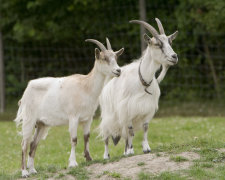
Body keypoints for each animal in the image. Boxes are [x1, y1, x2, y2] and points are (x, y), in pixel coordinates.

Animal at [14, 38, 124, 177]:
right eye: (104, 58)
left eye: (116, 57)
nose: (118, 71)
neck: (86, 87)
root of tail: (26, 92)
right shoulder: (73, 117)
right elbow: (74, 139)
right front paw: (73, 163)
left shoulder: (88, 118)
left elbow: (86, 137)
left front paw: (89, 158)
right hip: (29, 120)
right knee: (24, 144)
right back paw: (24, 172)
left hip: (41, 124)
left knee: (33, 144)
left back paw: (33, 170)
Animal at [99, 18, 178, 159]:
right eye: (157, 44)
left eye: (170, 42)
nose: (174, 57)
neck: (142, 81)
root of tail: (107, 83)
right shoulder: (127, 109)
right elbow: (131, 131)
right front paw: (131, 150)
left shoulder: (147, 107)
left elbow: (145, 128)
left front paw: (146, 148)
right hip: (108, 115)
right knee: (107, 136)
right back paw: (107, 156)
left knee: (124, 133)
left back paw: (125, 151)